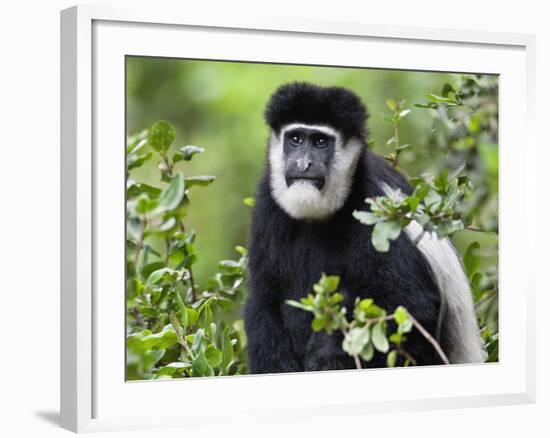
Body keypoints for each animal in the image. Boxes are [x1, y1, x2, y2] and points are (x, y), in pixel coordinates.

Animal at [246, 82, 488, 372]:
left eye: (320, 142)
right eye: (295, 139)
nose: (303, 164)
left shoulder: (376, 211)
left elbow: (411, 306)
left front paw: (327, 360)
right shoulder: (267, 206)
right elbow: (264, 301)